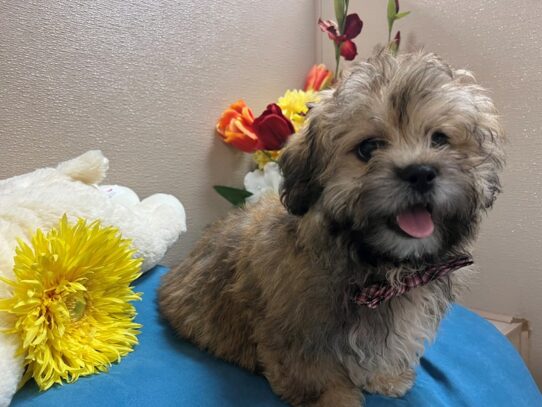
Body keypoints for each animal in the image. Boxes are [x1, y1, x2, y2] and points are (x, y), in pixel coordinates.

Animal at [159, 52, 508, 406]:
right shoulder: (299, 333)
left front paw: (385, 377)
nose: (420, 172)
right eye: (368, 148)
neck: (379, 270)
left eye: (439, 139)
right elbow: (314, 372)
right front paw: (335, 399)